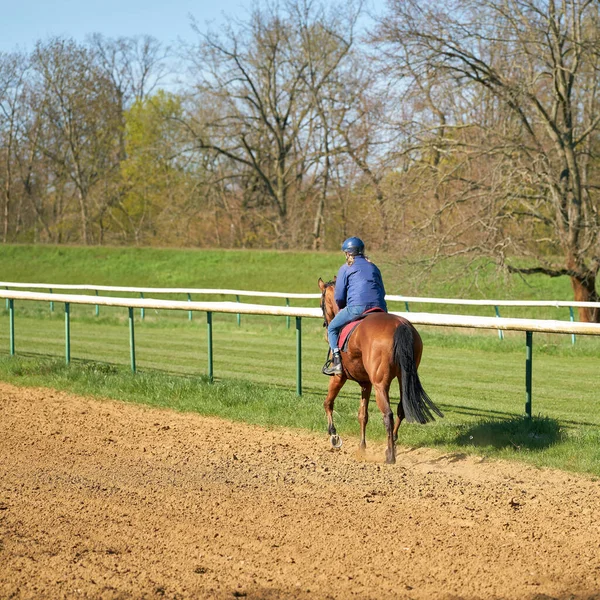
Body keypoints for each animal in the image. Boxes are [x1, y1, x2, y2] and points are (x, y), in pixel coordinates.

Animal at [318, 276, 440, 464]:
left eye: (321, 303)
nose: (325, 323)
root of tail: (400, 325)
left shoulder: (339, 377)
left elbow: (328, 402)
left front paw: (334, 436)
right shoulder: (366, 383)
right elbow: (363, 415)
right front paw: (362, 447)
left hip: (380, 383)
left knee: (388, 414)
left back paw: (390, 455)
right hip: (403, 378)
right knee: (401, 409)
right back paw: (393, 445)